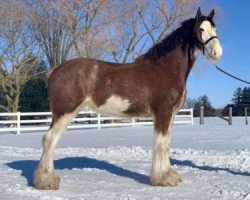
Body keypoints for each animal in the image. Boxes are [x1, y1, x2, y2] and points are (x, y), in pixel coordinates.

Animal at [33, 7, 223, 189]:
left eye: (215, 28)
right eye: (201, 29)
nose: (217, 52)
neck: (165, 68)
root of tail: (54, 71)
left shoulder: (170, 115)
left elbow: (167, 144)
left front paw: (169, 175)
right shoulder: (163, 113)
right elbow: (160, 144)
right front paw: (162, 179)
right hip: (65, 112)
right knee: (49, 139)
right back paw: (47, 181)